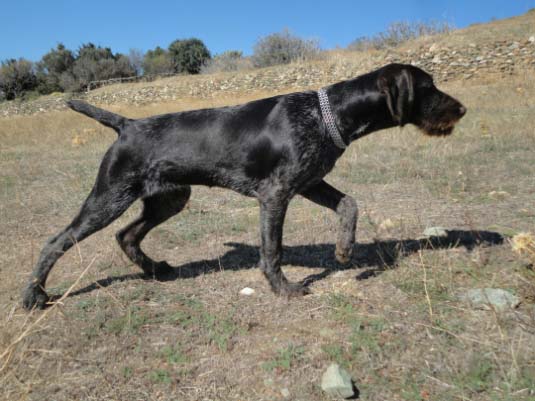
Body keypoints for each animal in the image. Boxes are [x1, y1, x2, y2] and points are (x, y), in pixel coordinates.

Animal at [22, 63, 466, 309]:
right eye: (428, 87)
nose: (461, 108)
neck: (327, 115)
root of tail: (127, 124)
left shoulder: (309, 182)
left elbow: (350, 204)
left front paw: (345, 248)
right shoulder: (276, 195)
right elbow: (272, 250)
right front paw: (283, 289)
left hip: (169, 198)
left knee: (126, 234)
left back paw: (154, 269)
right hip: (110, 196)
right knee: (56, 242)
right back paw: (33, 297)